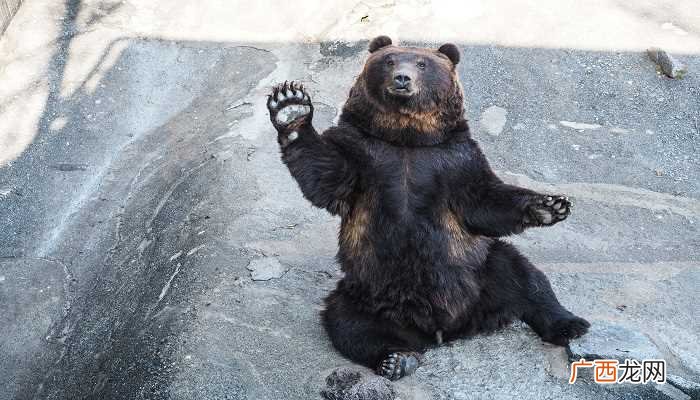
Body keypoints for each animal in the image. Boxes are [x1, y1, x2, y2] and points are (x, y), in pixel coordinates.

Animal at [266, 35, 590, 381]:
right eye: (390, 60)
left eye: (422, 63)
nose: (402, 78)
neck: (407, 139)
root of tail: (446, 329)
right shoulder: (362, 153)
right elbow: (325, 174)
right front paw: (290, 107)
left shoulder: (454, 160)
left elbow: (484, 201)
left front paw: (550, 205)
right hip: (365, 293)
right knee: (349, 324)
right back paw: (396, 358)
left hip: (479, 271)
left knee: (522, 275)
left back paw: (570, 324)